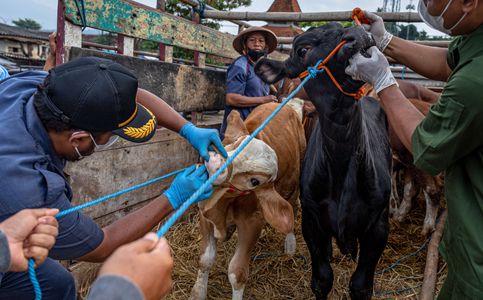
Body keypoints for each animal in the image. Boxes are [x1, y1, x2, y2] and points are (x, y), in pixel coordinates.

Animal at [190, 102, 306, 298]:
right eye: (235, 143)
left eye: (255, 181)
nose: (215, 164)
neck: (222, 205)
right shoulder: (205, 216)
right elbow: (205, 258)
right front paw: (198, 293)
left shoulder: (252, 223)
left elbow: (237, 273)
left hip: (294, 182)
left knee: (293, 209)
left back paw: (290, 246)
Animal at [255, 22, 392, 298]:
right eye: (302, 49)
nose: (357, 34)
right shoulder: (311, 218)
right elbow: (322, 278)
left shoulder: (379, 224)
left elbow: (361, 285)